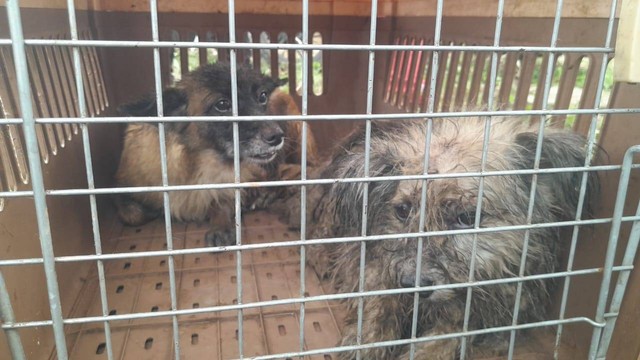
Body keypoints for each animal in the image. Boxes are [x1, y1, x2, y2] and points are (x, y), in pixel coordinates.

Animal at [116, 62, 316, 248]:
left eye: (262, 96)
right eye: (222, 104)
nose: (277, 136)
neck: (198, 164)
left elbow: (221, 202)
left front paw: (221, 225)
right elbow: (131, 214)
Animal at [304, 119, 600, 360]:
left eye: (467, 216)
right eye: (403, 210)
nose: (411, 285)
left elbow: (453, 333)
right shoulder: (378, 269)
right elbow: (377, 307)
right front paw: (364, 342)